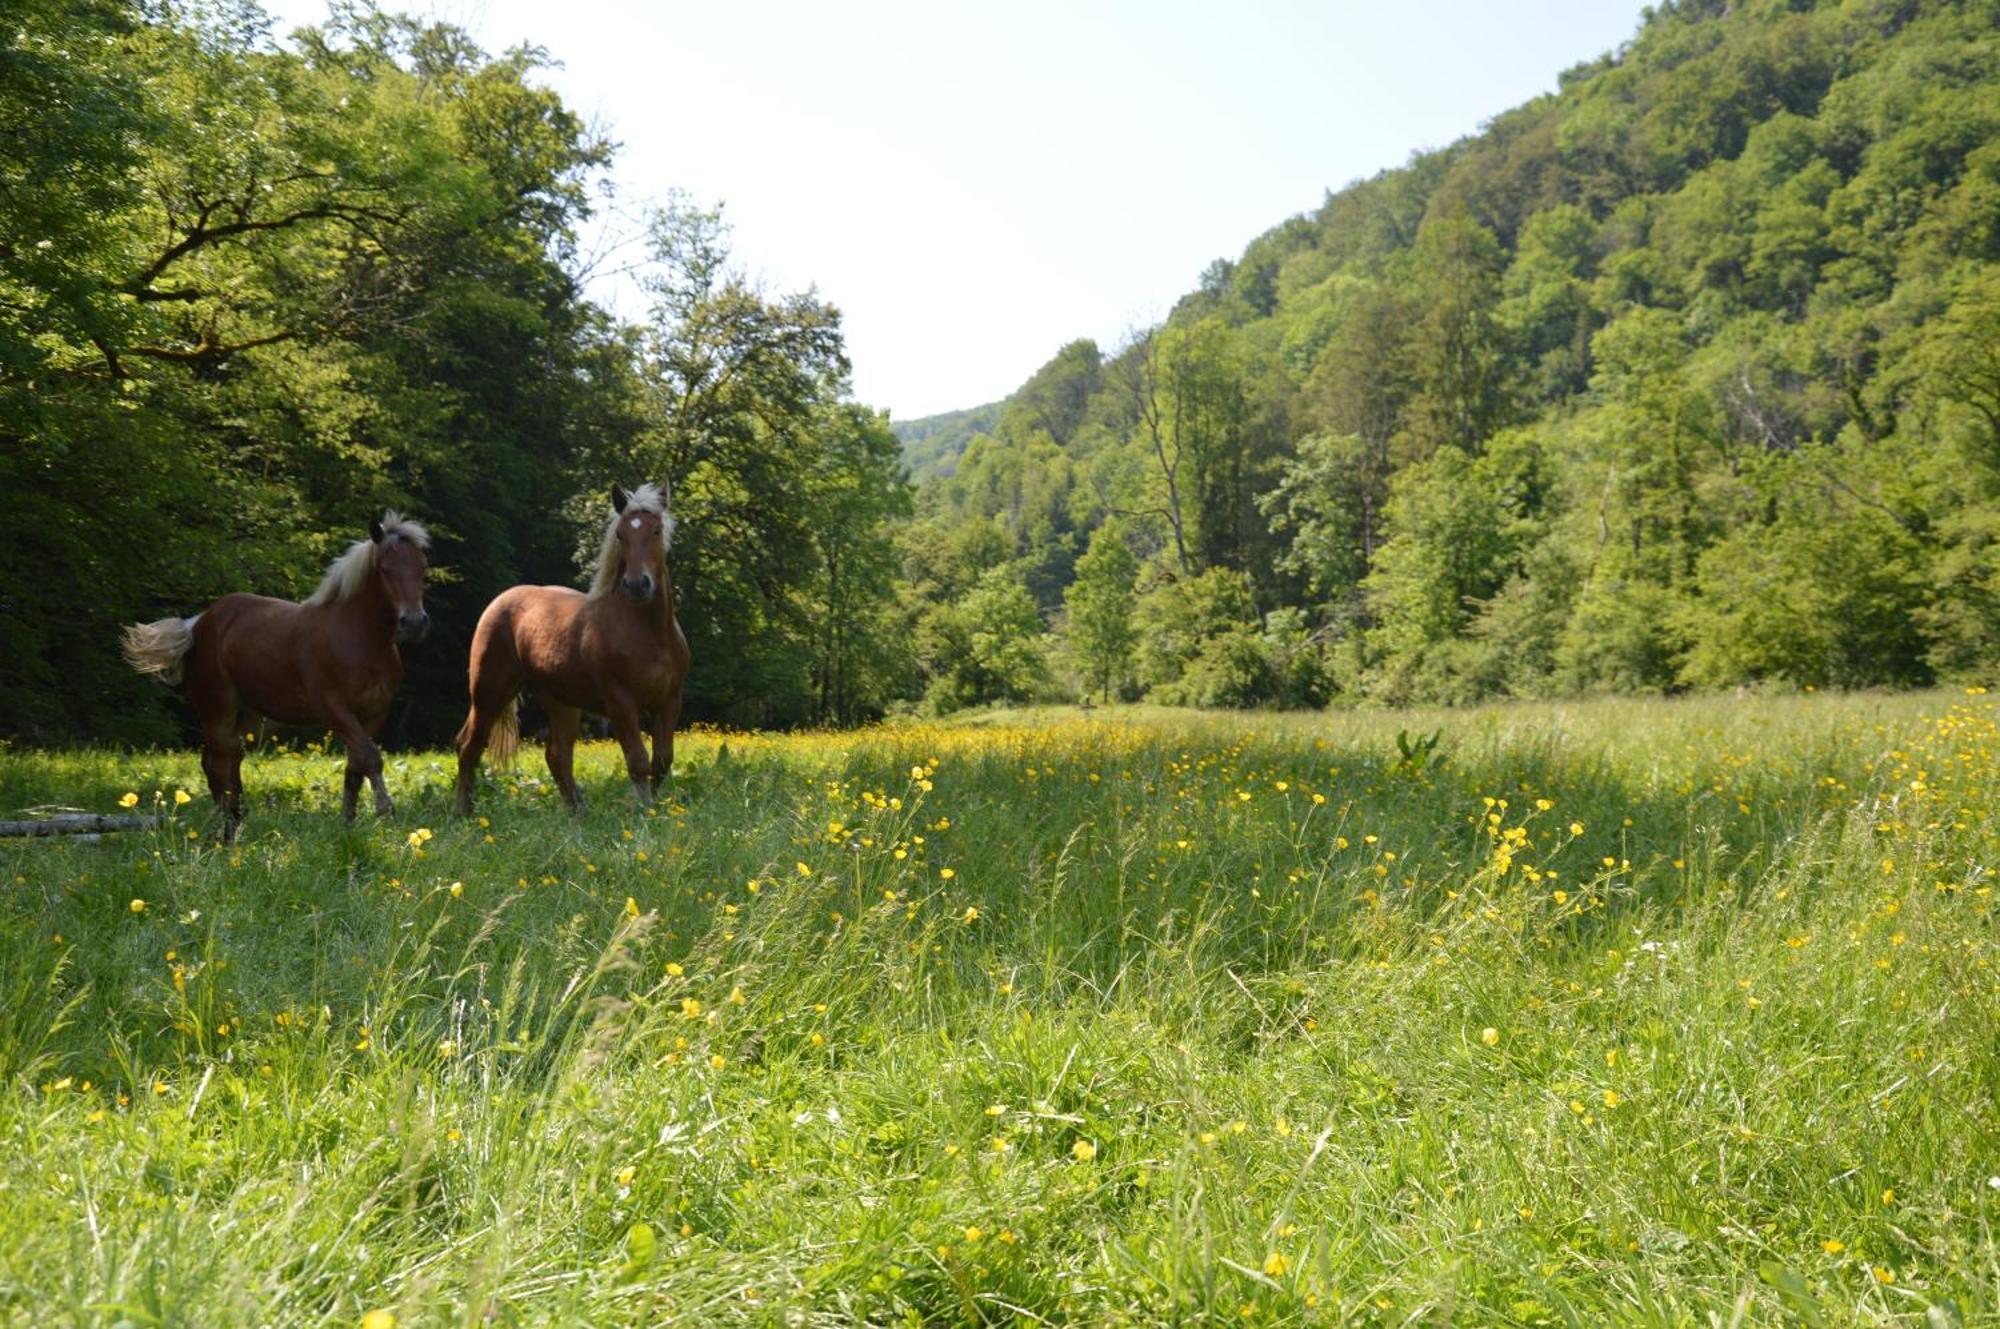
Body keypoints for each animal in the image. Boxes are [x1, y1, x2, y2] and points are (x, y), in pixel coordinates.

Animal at [123, 510, 432, 832]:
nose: (414, 622)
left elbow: (355, 767)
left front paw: (347, 823)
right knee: (215, 760)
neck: (357, 638)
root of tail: (197, 624)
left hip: (254, 715)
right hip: (218, 709)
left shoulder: (374, 713)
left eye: (423, 569)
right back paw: (225, 824)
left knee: (231, 755)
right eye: (385, 569)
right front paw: (386, 811)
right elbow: (370, 758)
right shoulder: (333, 709)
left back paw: (236, 816)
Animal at [458, 478, 692, 808]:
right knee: (469, 746)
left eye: (656, 530)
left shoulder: (669, 701)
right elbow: (638, 760)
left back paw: (578, 810)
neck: (650, 634)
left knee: (557, 756)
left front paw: (654, 805)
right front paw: (644, 808)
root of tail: (497, 604)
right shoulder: (620, 703)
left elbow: (662, 760)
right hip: (489, 692)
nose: (637, 585)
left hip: (561, 701)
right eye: (621, 534)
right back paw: (462, 811)